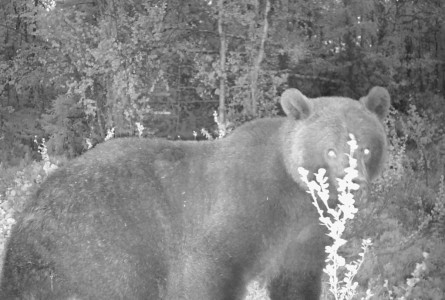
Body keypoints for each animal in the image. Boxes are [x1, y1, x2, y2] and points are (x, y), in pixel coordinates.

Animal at [0, 85, 388, 298]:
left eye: (367, 149)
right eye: (332, 150)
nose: (355, 183)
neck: (294, 193)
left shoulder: (305, 232)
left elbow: (298, 279)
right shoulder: (242, 204)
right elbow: (209, 266)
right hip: (97, 245)